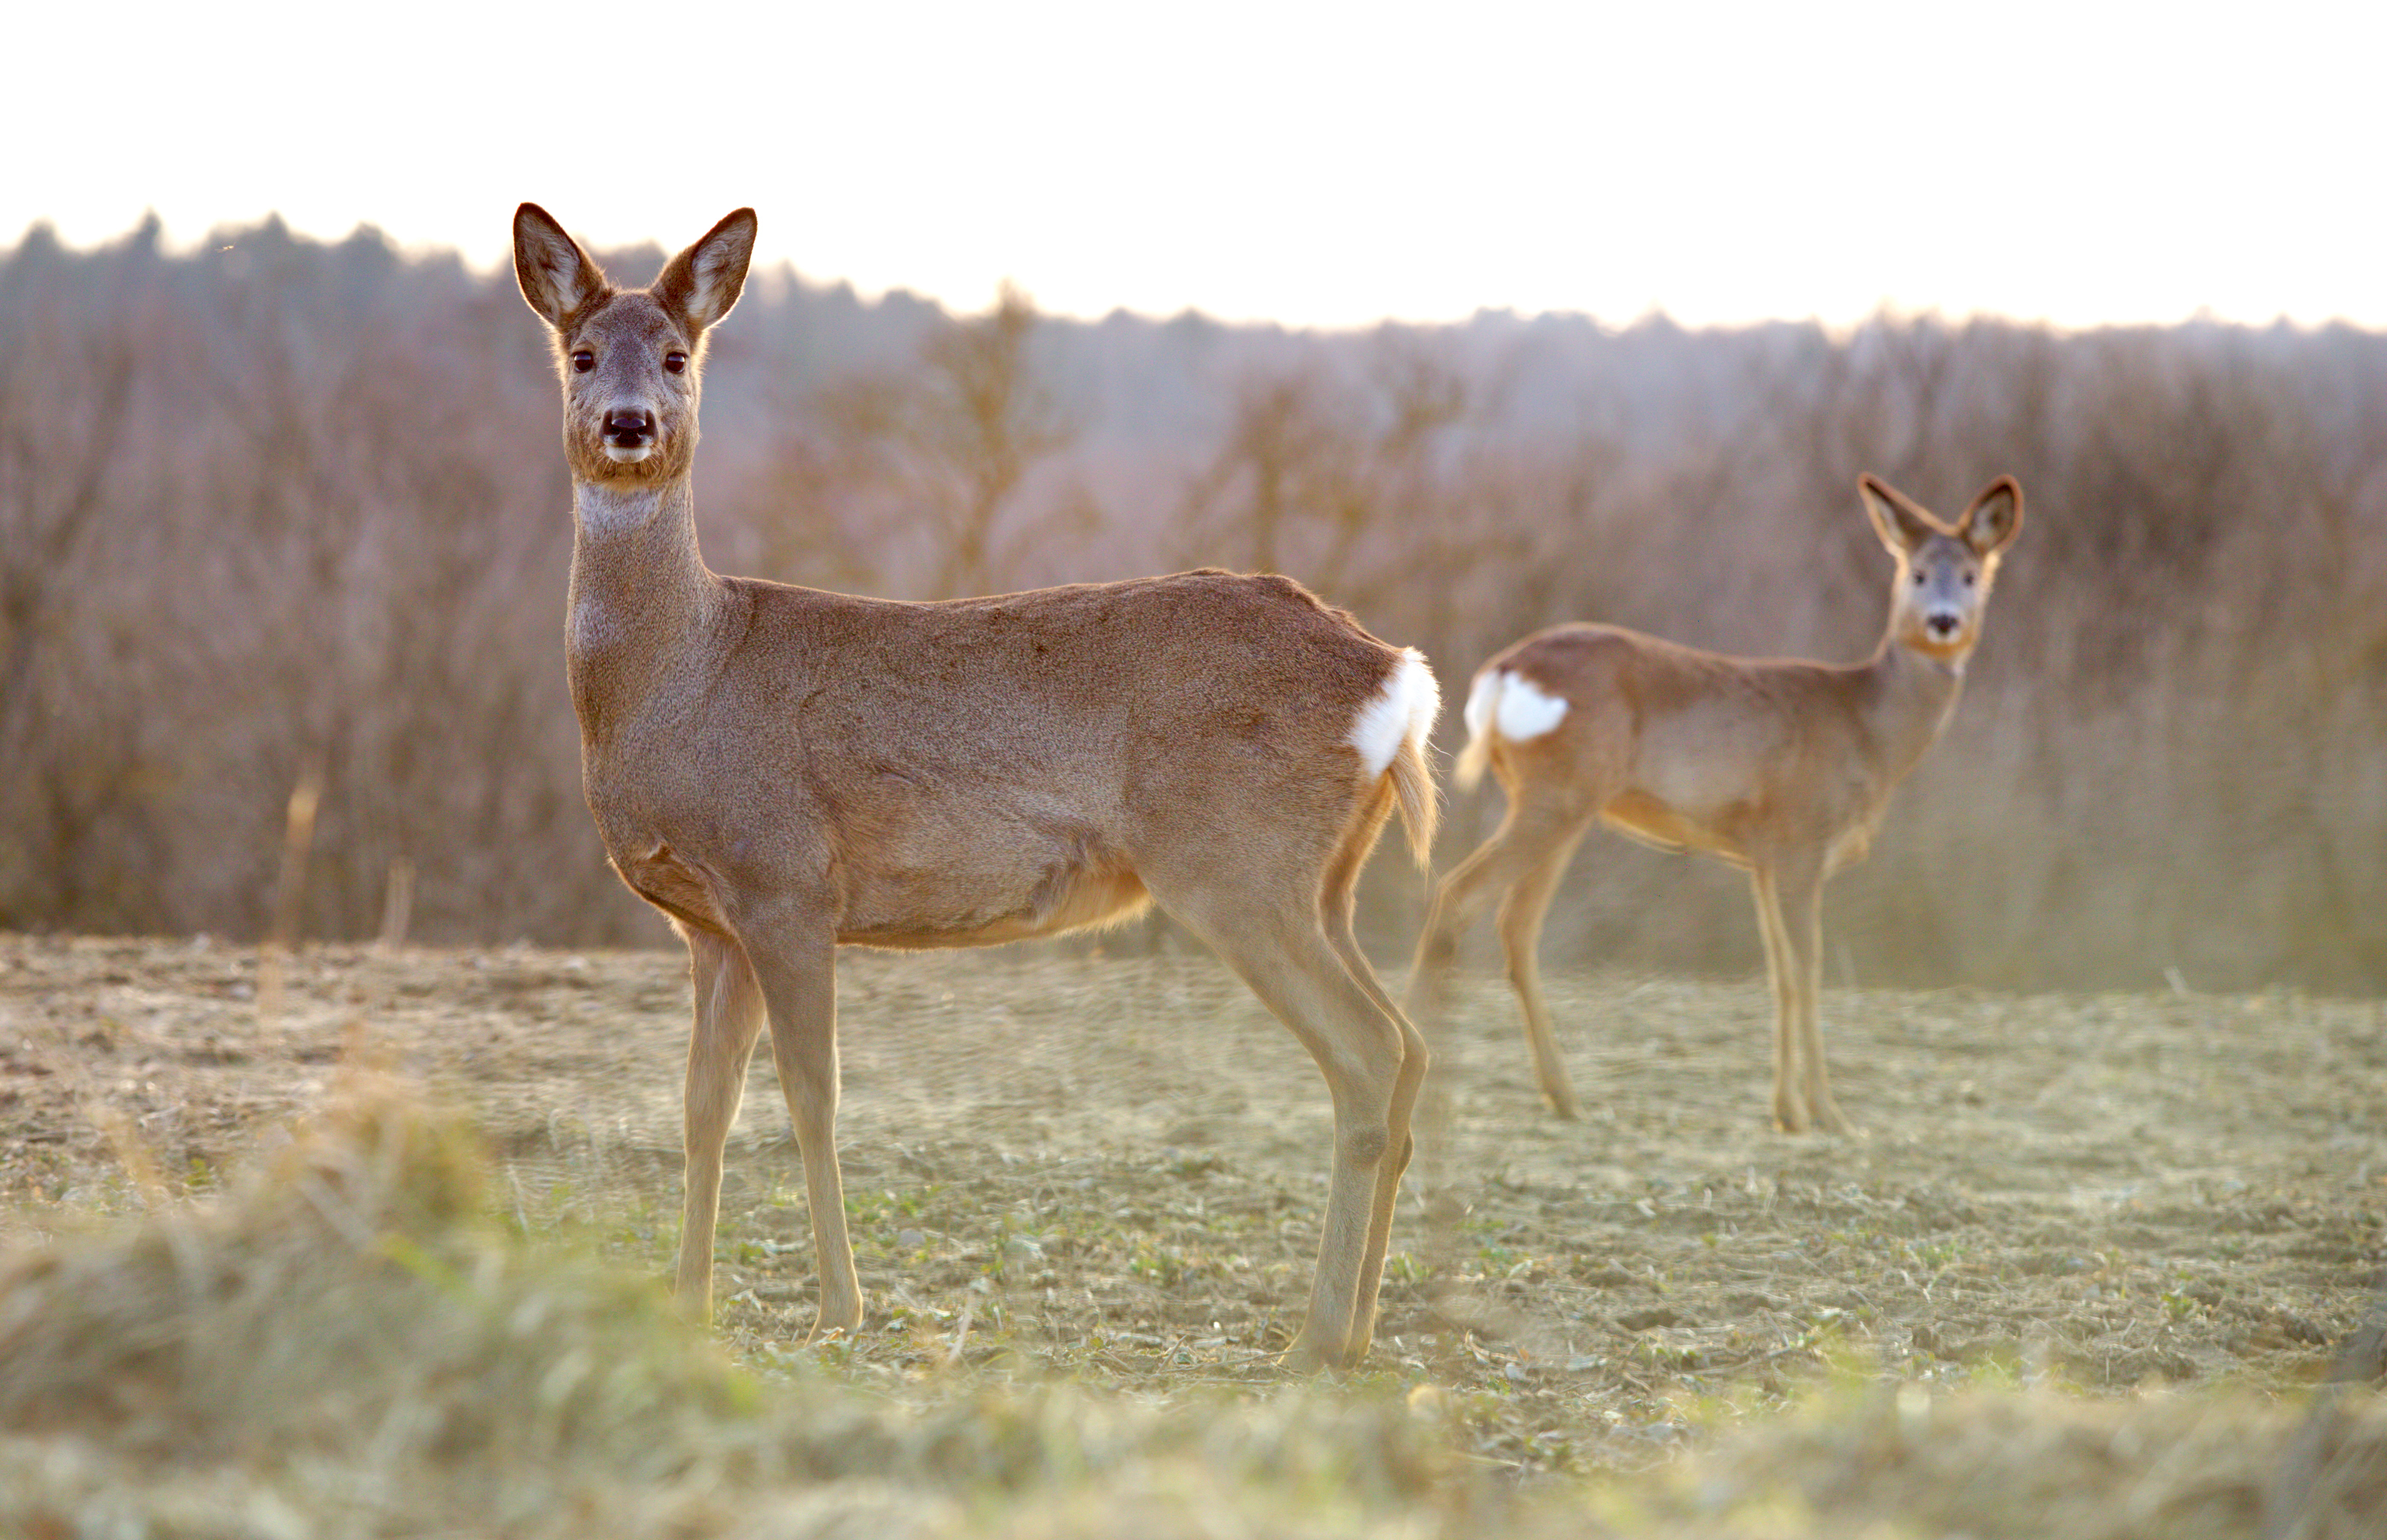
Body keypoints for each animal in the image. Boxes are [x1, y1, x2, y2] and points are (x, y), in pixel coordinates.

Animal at [515, 204, 1442, 1365]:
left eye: (680, 356)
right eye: (583, 354)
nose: (631, 424)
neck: (681, 676)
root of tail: (1393, 677)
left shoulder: (785, 879)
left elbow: (811, 1095)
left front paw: (837, 1308)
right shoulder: (709, 925)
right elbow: (702, 1107)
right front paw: (688, 1305)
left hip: (1236, 862)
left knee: (1367, 1054)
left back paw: (1312, 1340)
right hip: (1327, 880)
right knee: (1408, 1048)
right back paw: (1355, 1333)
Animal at [1403, 475, 2024, 1136]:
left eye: (1971, 576)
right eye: (1916, 573)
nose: (1943, 621)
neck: (1867, 727)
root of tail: (1501, 673)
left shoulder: (1763, 857)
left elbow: (1779, 974)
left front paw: (1788, 1111)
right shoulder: (1801, 838)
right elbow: (1808, 971)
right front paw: (1828, 1113)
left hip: (1563, 804)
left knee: (1515, 925)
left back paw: (1564, 1096)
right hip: (1556, 797)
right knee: (1457, 896)